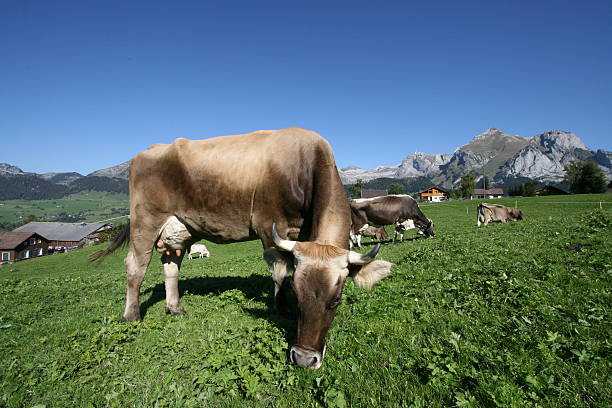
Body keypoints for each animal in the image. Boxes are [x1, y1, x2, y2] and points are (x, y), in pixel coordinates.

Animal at [91, 126, 392, 370]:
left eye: (336, 299)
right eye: (298, 293)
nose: (305, 358)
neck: (304, 162)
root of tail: (147, 152)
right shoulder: (269, 225)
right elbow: (279, 271)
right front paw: (280, 307)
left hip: (180, 231)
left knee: (171, 267)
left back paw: (175, 308)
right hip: (145, 221)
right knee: (136, 267)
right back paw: (132, 315)